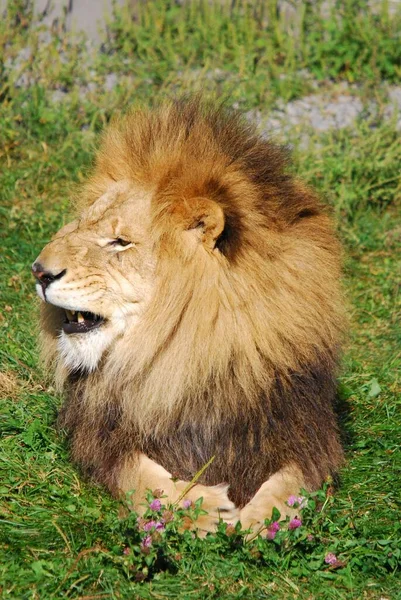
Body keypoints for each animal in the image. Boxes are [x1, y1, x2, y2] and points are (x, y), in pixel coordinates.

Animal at [32, 97, 344, 536]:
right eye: (80, 227)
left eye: (120, 242)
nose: (39, 272)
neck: (189, 355)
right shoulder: (102, 436)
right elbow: (141, 474)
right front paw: (199, 509)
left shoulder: (306, 430)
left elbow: (292, 481)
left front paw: (261, 521)